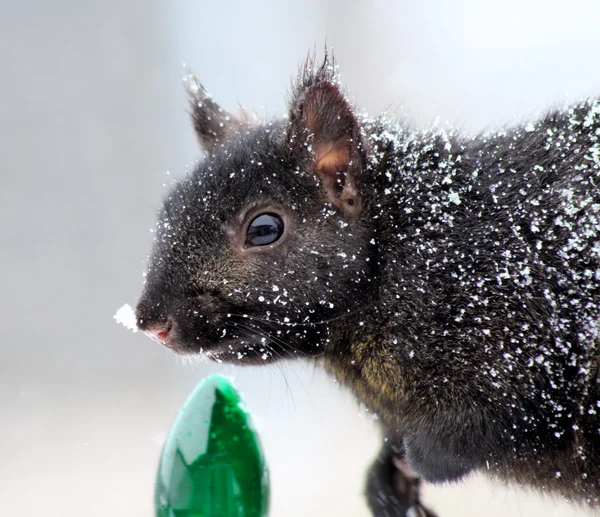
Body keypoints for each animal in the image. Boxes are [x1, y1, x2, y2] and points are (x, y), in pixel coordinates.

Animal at [136, 54, 600, 512]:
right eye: (167, 210)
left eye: (264, 229)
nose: (150, 323)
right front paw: (384, 480)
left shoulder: (514, 324)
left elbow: (501, 416)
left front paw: (420, 459)